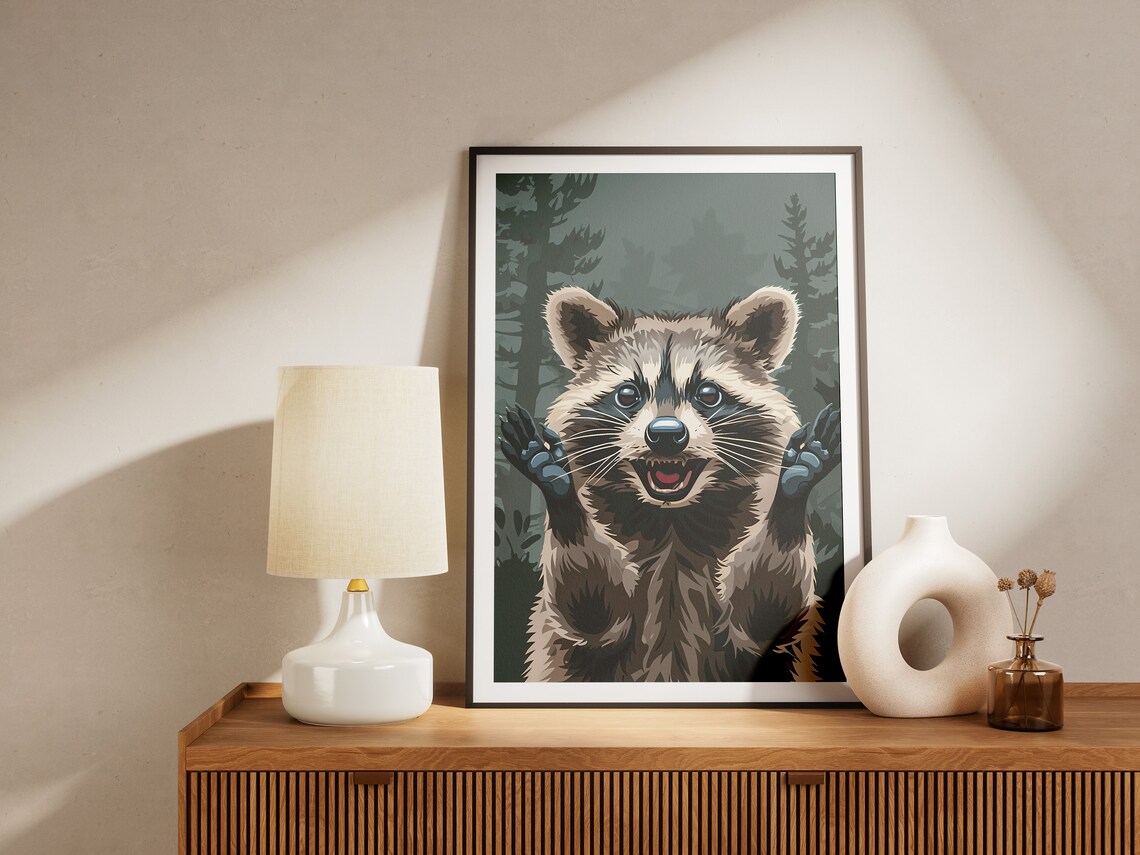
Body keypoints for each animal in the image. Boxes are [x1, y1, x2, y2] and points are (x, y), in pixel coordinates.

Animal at [499, 285, 841, 683]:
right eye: (627, 395)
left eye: (708, 394)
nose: (665, 434)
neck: (671, 519)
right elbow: (591, 612)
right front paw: (561, 493)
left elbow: (764, 612)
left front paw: (791, 495)